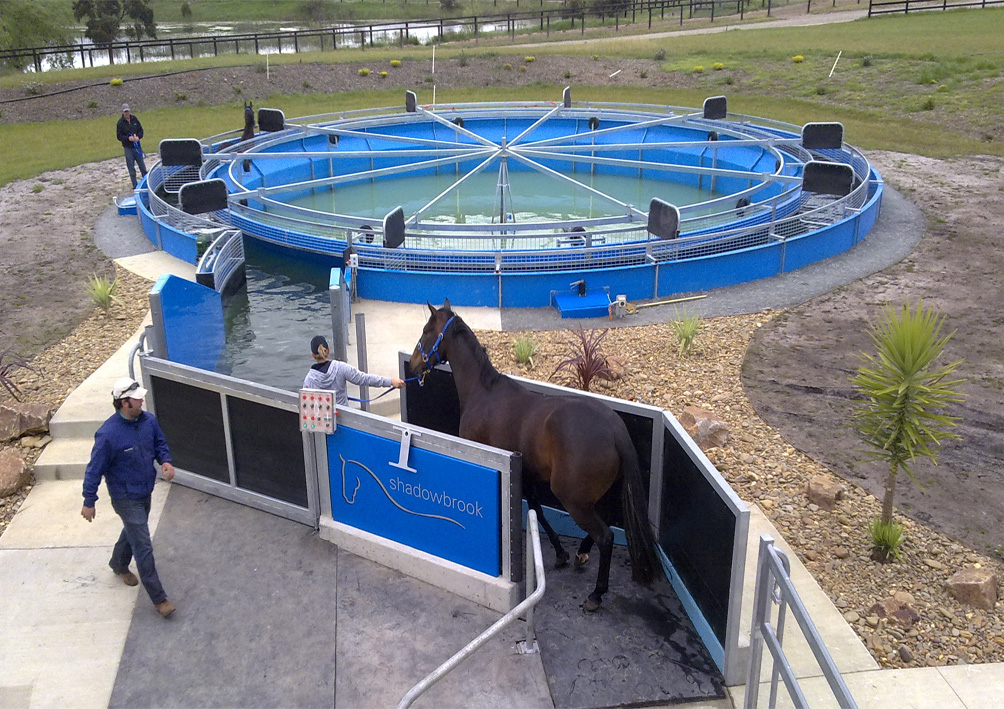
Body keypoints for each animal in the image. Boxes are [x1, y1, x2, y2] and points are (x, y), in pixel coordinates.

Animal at [410, 300, 661, 612]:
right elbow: (536, 510)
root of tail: (615, 428)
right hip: (591, 495)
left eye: (426, 330)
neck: (483, 392)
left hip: (571, 497)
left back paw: (596, 594)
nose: (413, 364)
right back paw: (581, 552)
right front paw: (561, 552)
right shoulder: (525, 473)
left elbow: (534, 511)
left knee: (606, 536)